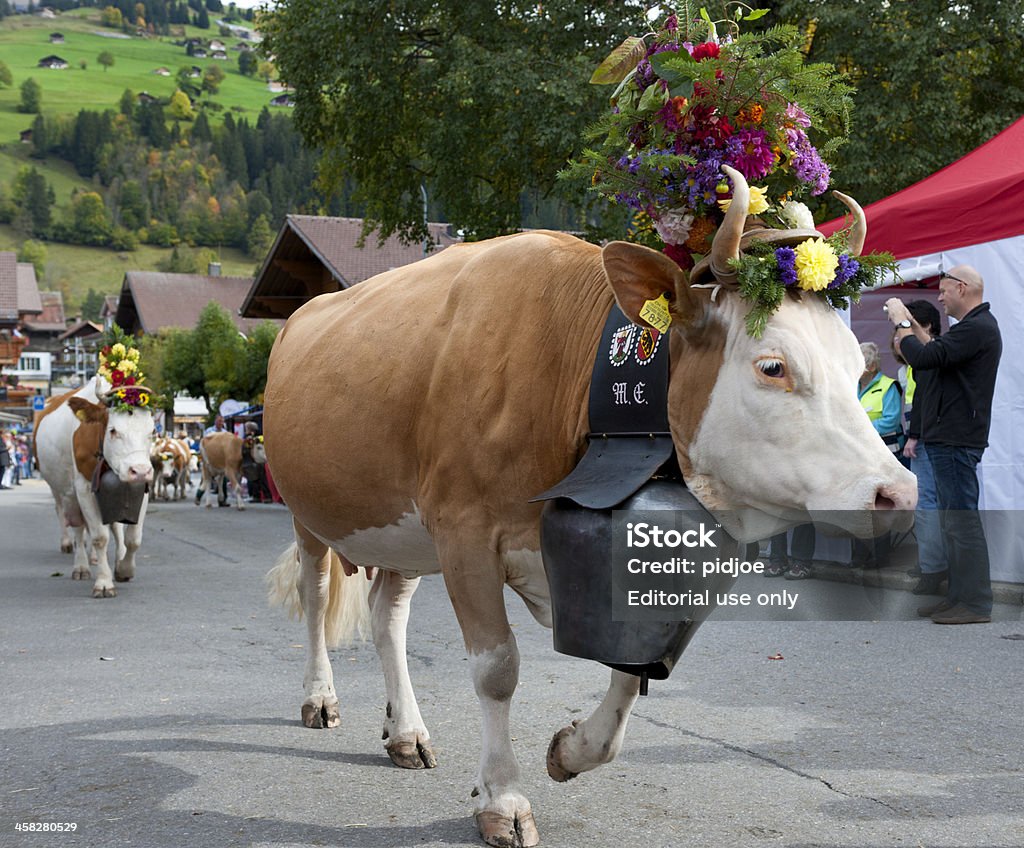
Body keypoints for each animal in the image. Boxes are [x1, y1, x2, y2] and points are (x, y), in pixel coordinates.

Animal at [34, 376, 154, 598]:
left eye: (153, 431)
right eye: (113, 430)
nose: (139, 470)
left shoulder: (142, 487)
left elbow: (133, 538)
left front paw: (124, 569)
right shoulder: (84, 488)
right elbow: (99, 537)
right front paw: (104, 583)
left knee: (113, 526)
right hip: (63, 490)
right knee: (74, 523)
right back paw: (79, 563)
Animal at [262, 166, 913, 847]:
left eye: (853, 364)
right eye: (773, 367)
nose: (896, 494)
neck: (570, 383)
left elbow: (630, 670)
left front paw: (570, 751)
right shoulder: (464, 529)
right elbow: (496, 668)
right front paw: (503, 799)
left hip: (403, 529)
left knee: (388, 614)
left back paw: (406, 732)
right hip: (310, 514)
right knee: (315, 598)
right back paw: (320, 699)